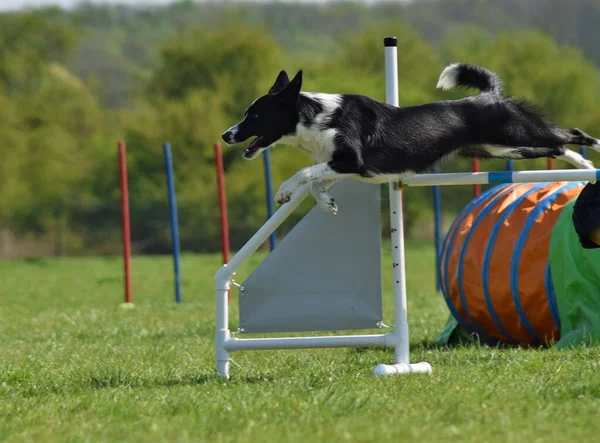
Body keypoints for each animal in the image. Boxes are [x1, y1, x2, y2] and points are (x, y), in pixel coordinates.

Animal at [221, 65, 600, 215]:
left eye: (254, 116)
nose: (226, 135)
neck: (316, 115)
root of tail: (489, 95)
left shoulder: (351, 160)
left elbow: (302, 173)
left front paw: (284, 191)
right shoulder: (343, 165)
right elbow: (315, 178)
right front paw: (327, 203)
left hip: (517, 134)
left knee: (568, 135)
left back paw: (591, 154)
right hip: (504, 148)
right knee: (557, 146)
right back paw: (584, 164)